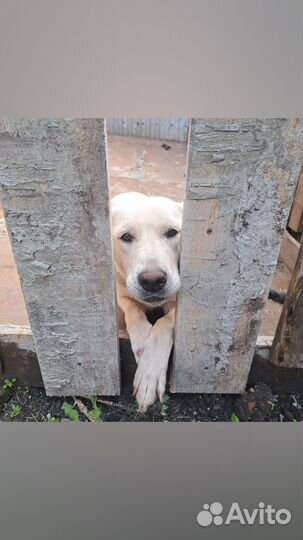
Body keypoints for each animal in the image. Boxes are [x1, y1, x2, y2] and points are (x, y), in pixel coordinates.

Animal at [111, 192, 184, 412]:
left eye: (172, 232)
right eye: (126, 236)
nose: (152, 281)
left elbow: (163, 324)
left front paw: (149, 373)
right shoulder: (121, 293)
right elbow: (133, 311)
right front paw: (143, 339)